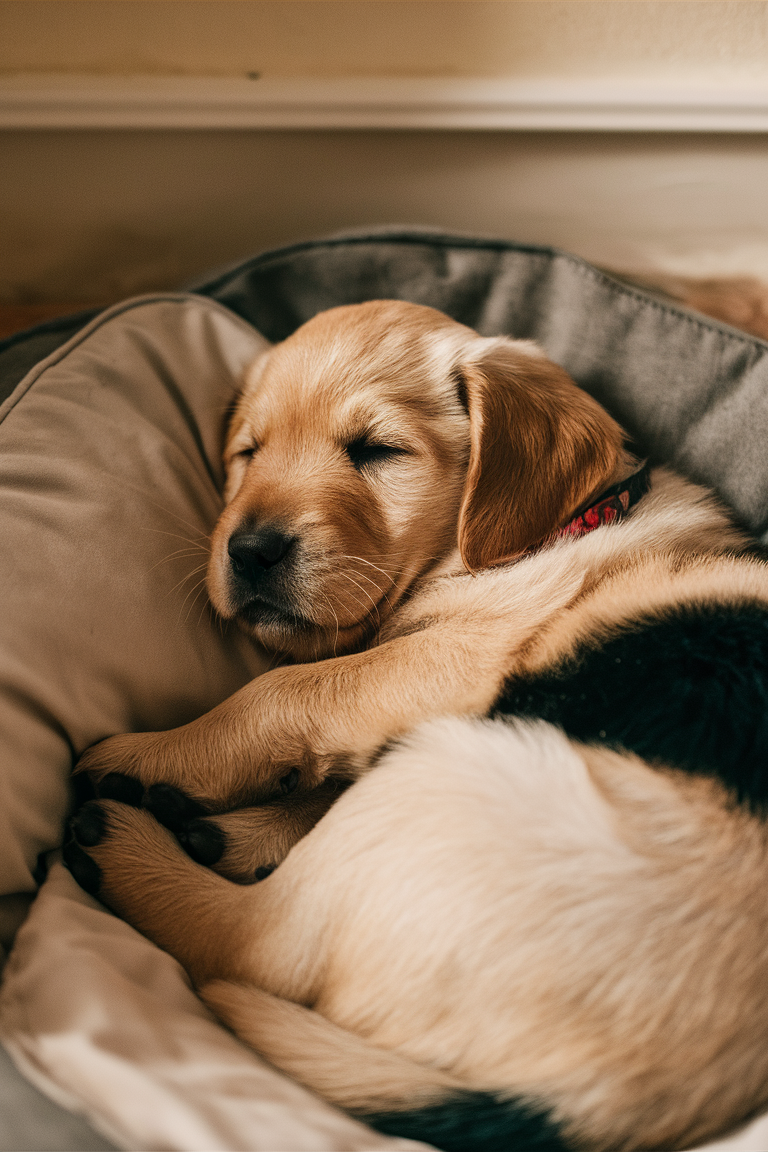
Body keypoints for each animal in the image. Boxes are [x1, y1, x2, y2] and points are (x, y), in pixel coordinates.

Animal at [67, 299, 768, 1152]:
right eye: (248, 452)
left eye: (377, 450)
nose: (250, 549)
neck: (547, 538)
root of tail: (581, 1109)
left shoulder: (450, 659)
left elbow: (281, 691)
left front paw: (159, 756)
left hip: (448, 774)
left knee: (249, 940)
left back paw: (126, 840)